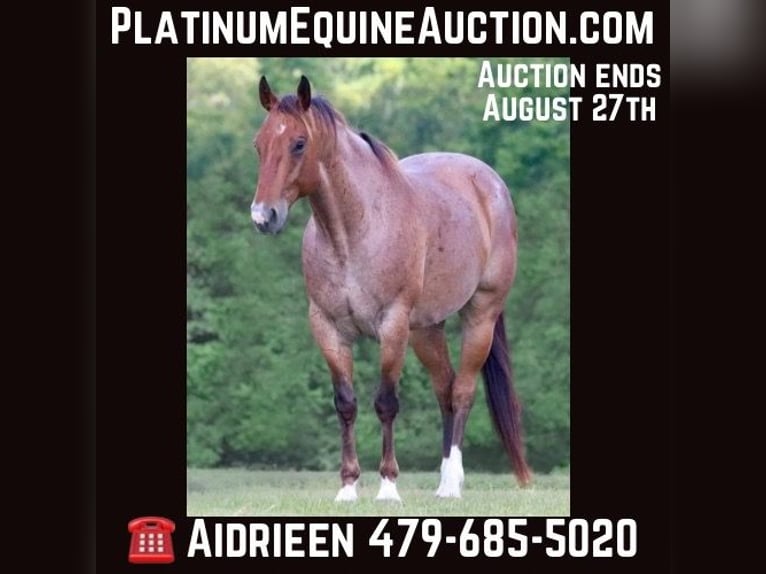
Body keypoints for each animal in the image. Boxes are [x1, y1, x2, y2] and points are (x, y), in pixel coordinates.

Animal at [250, 75, 531, 501]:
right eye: (259, 143)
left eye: (298, 143)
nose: (263, 216)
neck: (353, 232)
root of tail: (490, 183)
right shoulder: (328, 328)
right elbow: (345, 403)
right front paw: (348, 489)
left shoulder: (393, 326)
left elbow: (386, 403)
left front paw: (387, 488)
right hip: (426, 330)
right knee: (445, 390)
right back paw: (447, 479)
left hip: (480, 315)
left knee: (462, 392)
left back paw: (451, 486)